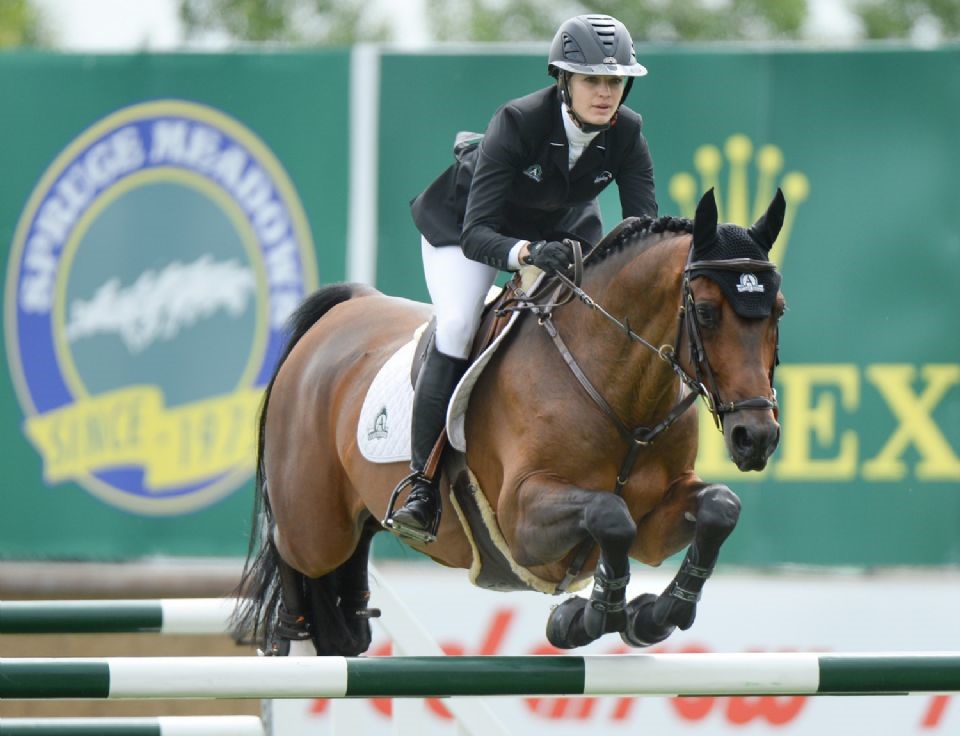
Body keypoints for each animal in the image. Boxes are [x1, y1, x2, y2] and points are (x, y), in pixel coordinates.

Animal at [232, 188, 788, 656]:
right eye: (708, 311)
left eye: (778, 310)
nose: (755, 438)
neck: (621, 392)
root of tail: (341, 313)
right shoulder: (521, 515)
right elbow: (609, 514)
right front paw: (590, 616)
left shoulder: (657, 520)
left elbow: (720, 507)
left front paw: (654, 614)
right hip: (316, 526)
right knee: (289, 546)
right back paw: (288, 628)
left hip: (355, 517)